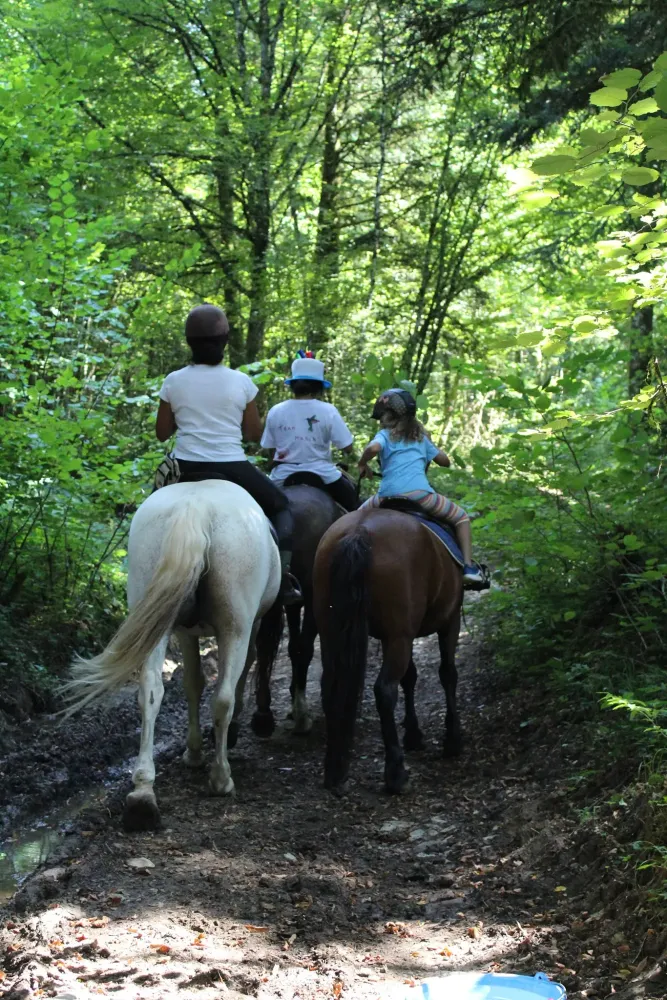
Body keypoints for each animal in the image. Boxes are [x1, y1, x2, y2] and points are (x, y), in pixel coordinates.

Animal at [64, 480, 282, 831]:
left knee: (151, 692)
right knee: (222, 697)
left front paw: (192, 752)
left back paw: (142, 794)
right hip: (235, 625)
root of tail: (195, 506)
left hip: (156, 618)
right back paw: (221, 778)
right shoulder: (250, 626)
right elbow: (228, 681)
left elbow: (192, 684)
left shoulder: (183, 630)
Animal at [251, 473, 346, 737]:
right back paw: (300, 715)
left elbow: (292, 645)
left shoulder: (292, 603)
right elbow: (302, 647)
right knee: (302, 647)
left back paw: (263, 716)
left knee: (264, 647)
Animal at [313, 503, 463, 794]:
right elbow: (447, 673)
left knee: (330, 686)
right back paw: (396, 773)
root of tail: (359, 531)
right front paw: (453, 739)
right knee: (385, 690)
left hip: (330, 631)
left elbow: (411, 677)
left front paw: (414, 734)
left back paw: (334, 771)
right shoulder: (449, 621)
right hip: (399, 636)